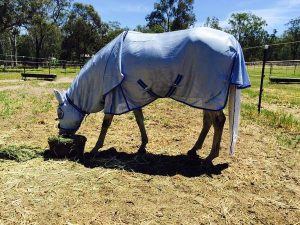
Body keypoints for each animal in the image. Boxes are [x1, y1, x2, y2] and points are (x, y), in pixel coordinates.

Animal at [54, 27, 251, 162]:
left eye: (60, 112)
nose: (62, 134)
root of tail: (231, 41)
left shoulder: (114, 95)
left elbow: (106, 124)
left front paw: (95, 148)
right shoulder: (131, 95)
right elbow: (140, 119)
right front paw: (143, 146)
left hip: (210, 95)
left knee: (218, 122)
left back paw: (211, 156)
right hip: (206, 97)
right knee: (208, 121)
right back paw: (195, 149)